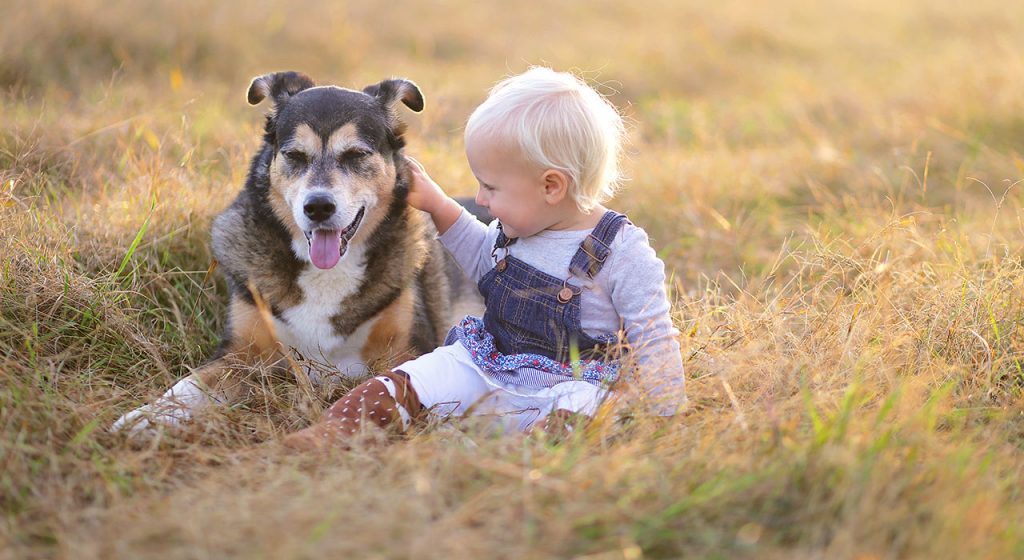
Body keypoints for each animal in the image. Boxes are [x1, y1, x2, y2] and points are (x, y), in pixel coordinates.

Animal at [114, 70, 481, 436]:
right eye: (294, 155)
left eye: (355, 155)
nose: (318, 207)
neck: (327, 273)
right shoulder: (238, 355)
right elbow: (190, 385)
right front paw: (147, 416)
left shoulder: (407, 350)